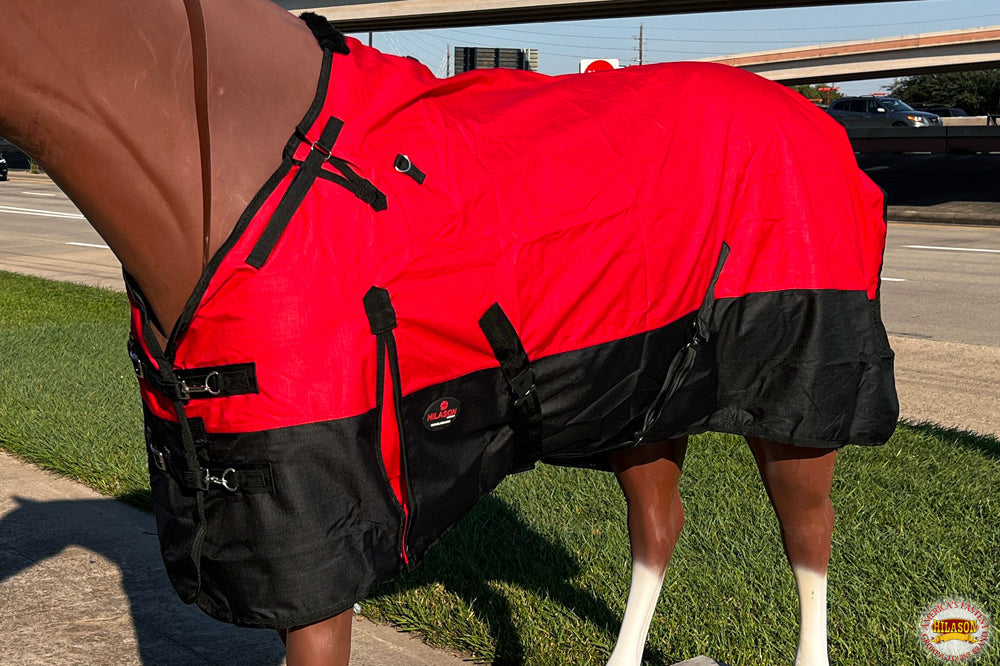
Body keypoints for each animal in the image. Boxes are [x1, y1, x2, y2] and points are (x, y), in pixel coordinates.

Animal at [0, 1, 898, 664]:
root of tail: (819, 120)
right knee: (658, 529)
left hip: (800, 392)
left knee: (808, 538)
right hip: (639, 392)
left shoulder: (322, 536)